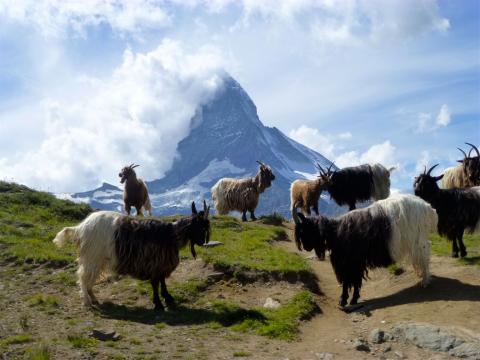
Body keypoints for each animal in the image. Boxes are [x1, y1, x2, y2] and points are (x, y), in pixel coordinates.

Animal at [290, 194, 436, 306]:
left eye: (303, 230)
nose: (306, 247)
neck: (335, 231)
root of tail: (428, 208)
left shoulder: (351, 262)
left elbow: (349, 281)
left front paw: (345, 300)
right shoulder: (355, 262)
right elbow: (354, 280)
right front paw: (352, 299)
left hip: (418, 240)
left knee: (424, 254)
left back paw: (425, 281)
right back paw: (422, 276)